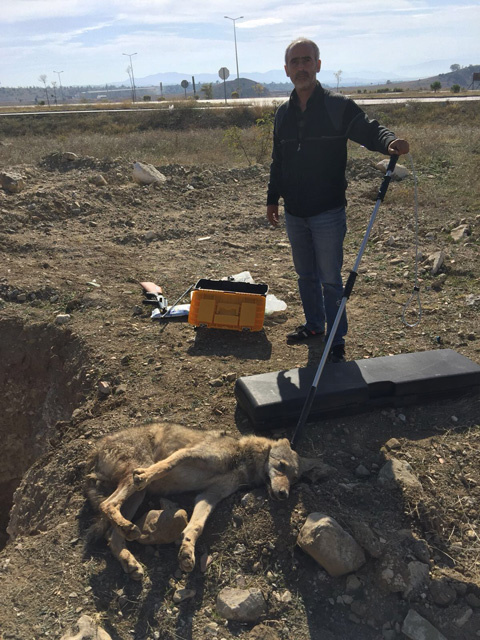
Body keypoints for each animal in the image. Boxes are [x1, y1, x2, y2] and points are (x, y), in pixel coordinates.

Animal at [86, 420, 332, 580]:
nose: (283, 494)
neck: (243, 458)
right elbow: (163, 466)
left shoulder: (209, 496)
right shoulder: (187, 454)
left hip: (137, 498)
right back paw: (128, 524)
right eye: (281, 466)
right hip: (136, 485)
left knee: (112, 535)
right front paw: (145, 475)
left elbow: (196, 527)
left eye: (294, 479)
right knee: (108, 504)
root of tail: (97, 448)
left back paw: (129, 557)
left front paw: (187, 551)